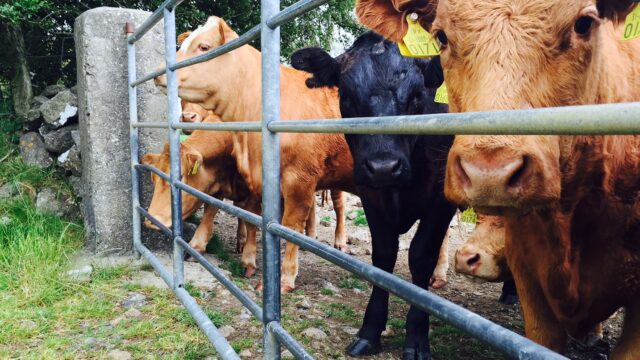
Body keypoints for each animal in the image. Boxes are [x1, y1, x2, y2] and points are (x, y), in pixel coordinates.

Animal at [292, 32, 458, 358]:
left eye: (418, 95)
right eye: (346, 96)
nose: (383, 167)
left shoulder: (441, 197)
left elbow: (421, 255)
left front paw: (416, 337)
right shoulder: (371, 195)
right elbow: (383, 255)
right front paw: (370, 332)